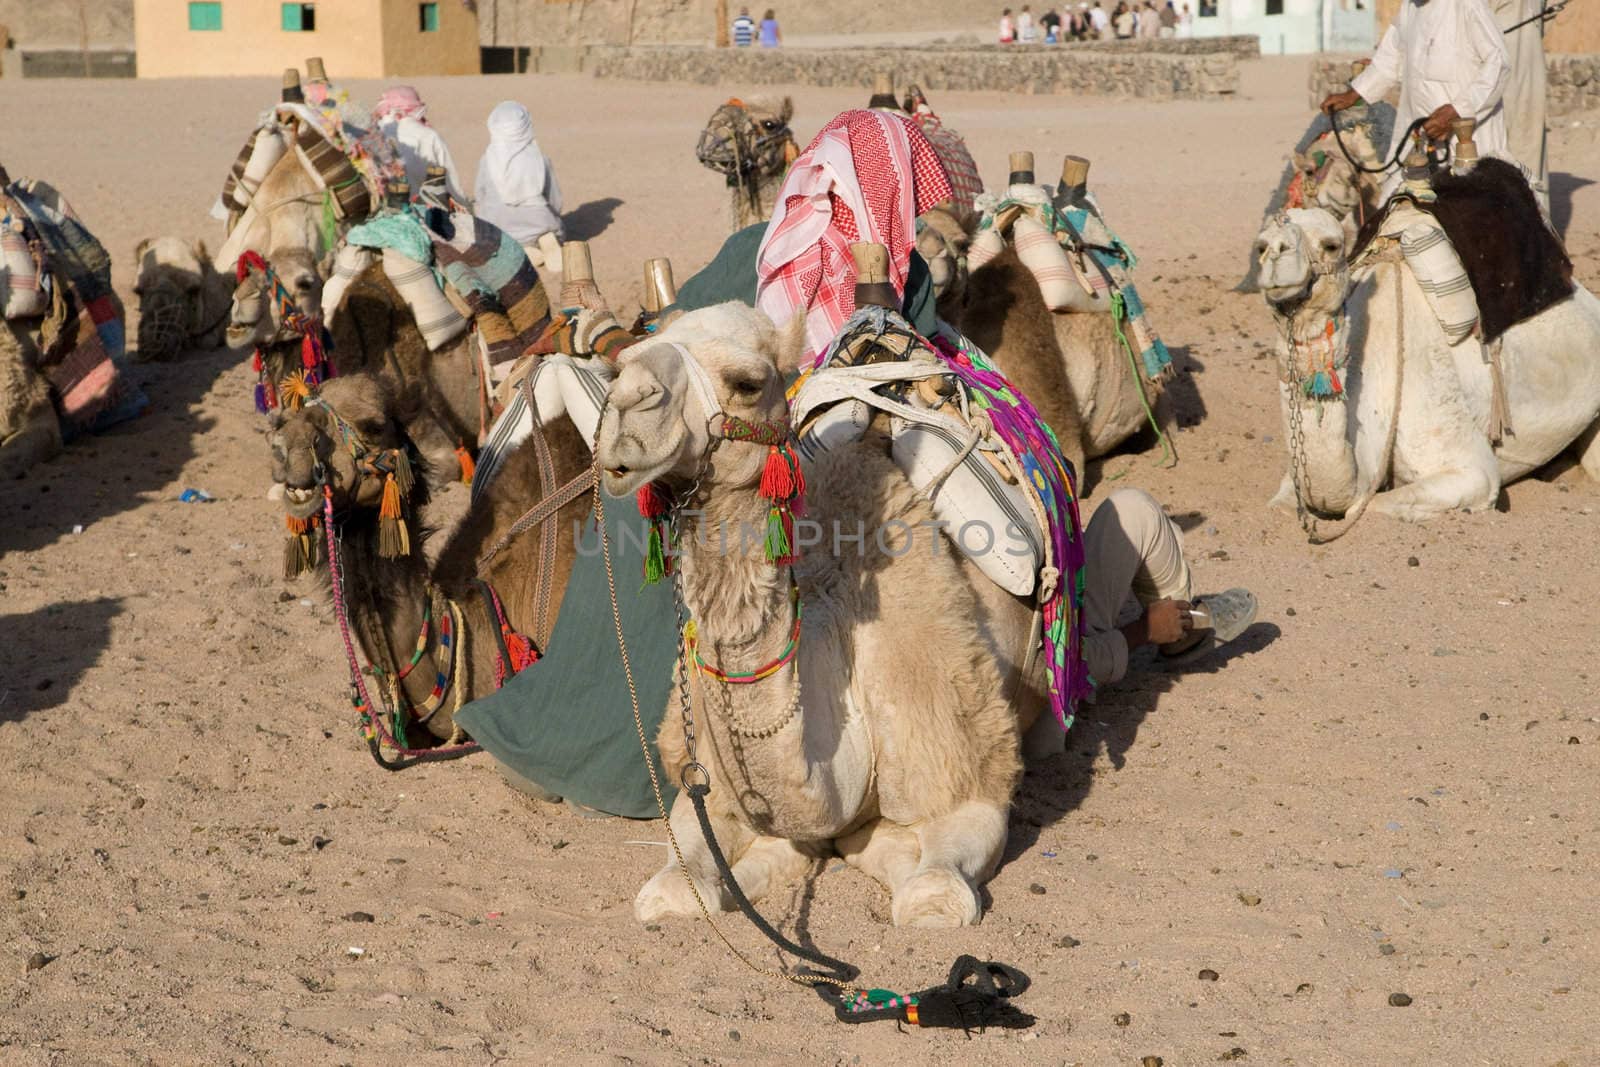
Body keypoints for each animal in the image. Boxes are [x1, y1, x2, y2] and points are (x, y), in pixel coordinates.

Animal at [595, 300, 1043, 927]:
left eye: (746, 382)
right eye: (621, 364)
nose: (626, 407)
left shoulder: (967, 772)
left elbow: (933, 894)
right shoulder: (712, 790)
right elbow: (675, 891)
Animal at [1254, 206, 1600, 524]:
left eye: (1331, 245)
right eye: (1259, 247)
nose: (1275, 252)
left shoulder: (1471, 467)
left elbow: (1363, 507)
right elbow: (1279, 505)